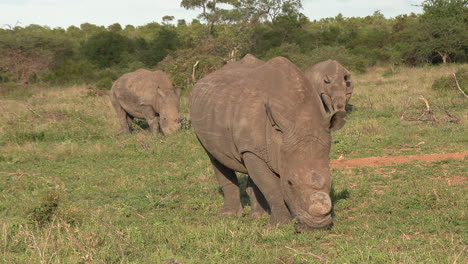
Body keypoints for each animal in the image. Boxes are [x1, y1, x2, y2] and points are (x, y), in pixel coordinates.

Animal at [190, 55, 348, 231]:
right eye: (290, 183)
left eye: (330, 180)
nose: (318, 226)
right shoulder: (252, 148)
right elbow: (272, 187)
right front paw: (280, 225)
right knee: (215, 157)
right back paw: (229, 215)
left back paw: (258, 216)